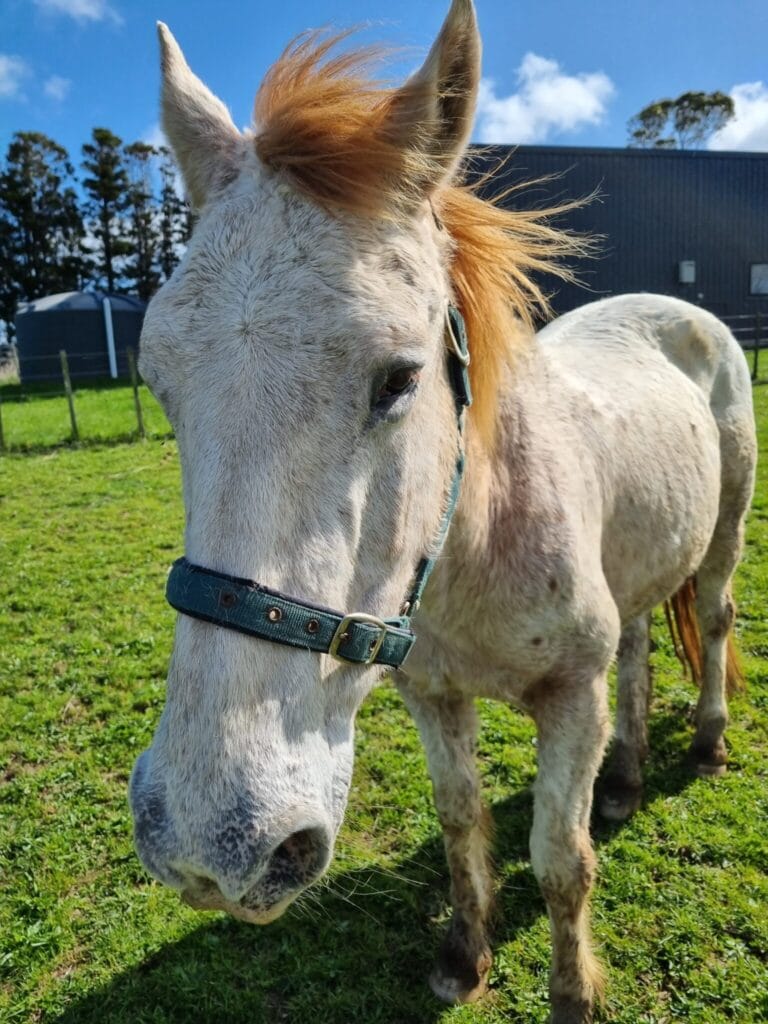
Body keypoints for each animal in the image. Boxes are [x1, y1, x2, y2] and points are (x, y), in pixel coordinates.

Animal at [129, 3, 756, 1021]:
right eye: (159, 381)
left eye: (399, 379)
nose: (209, 842)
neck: (474, 554)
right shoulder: (431, 694)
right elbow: (462, 821)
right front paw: (465, 955)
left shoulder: (568, 700)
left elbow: (561, 860)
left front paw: (573, 990)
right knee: (636, 649)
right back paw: (624, 780)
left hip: (725, 535)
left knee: (713, 614)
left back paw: (704, 745)